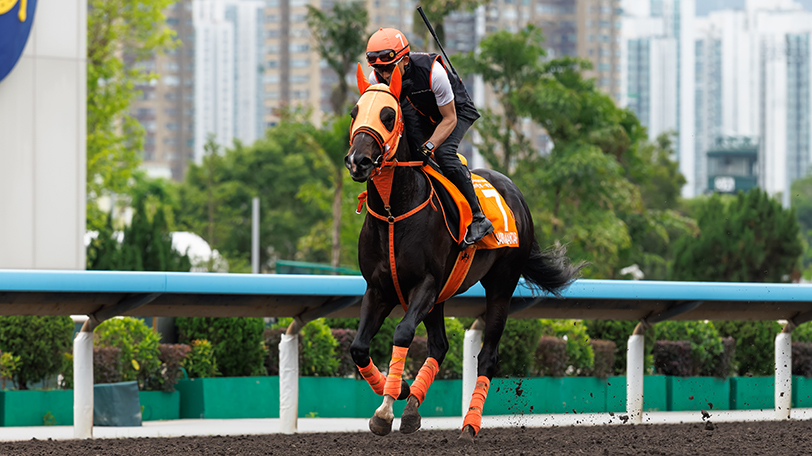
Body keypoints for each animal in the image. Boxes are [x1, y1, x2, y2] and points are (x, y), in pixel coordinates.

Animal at [343, 64, 582, 441]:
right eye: (354, 113)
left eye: (388, 114)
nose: (358, 161)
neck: (395, 213)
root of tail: (516, 194)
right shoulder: (379, 288)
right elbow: (358, 347)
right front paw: (399, 393)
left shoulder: (425, 283)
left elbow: (403, 333)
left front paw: (386, 409)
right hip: (441, 296)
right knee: (440, 346)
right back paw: (413, 408)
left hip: (501, 285)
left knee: (487, 356)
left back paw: (470, 423)